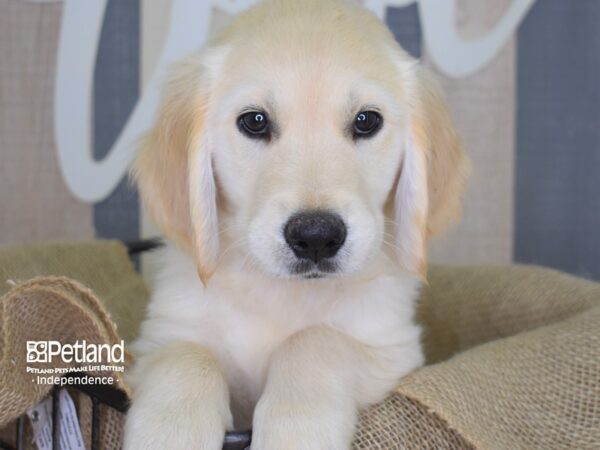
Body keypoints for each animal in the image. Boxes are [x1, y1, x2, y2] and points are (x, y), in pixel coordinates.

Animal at [123, 1, 468, 448]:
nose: (317, 236)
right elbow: (185, 355)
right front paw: (169, 430)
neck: (282, 293)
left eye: (366, 121)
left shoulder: (393, 350)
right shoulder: (160, 335)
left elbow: (314, 339)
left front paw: (297, 429)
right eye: (254, 121)